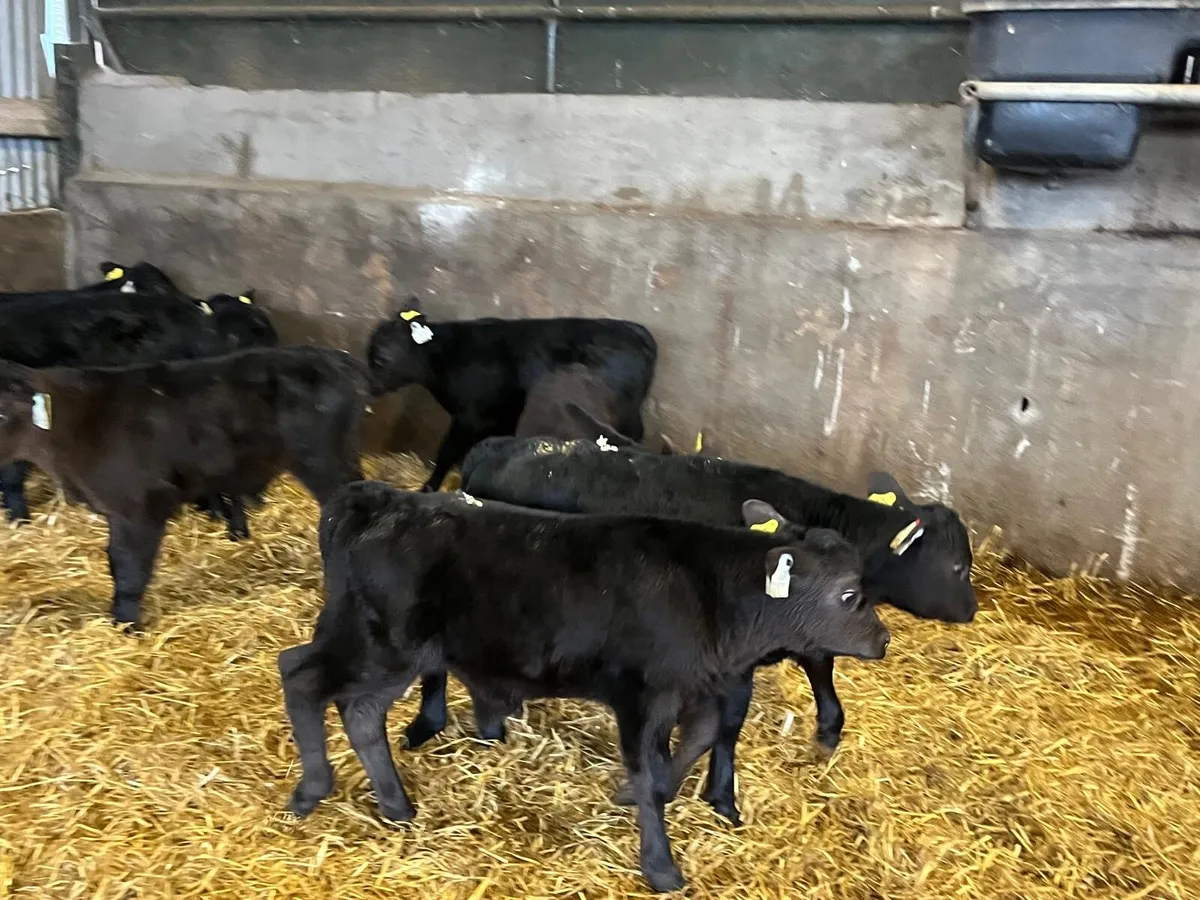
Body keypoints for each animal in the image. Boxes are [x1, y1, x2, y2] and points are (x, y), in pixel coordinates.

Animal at [0, 346, 368, 628]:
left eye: (2, 414)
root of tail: (332, 357)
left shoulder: (140, 506)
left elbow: (129, 567)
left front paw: (127, 624)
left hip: (325, 463)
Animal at [278, 483, 888, 892]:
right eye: (850, 594)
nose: (883, 638)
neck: (709, 593)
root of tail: (384, 500)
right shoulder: (643, 696)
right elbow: (652, 771)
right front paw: (661, 866)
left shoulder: (700, 687)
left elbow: (699, 740)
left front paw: (638, 797)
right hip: (379, 644)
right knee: (301, 677)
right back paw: (312, 790)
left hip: (394, 654)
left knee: (357, 711)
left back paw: (395, 804)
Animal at [364, 297, 657, 491]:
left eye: (380, 358)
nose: (368, 387)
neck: (448, 357)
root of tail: (637, 331)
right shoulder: (497, 420)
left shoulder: (469, 417)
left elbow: (447, 452)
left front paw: (429, 487)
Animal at [411, 437, 976, 823]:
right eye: (957, 567)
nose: (972, 610)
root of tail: (491, 448)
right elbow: (726, 724)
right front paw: (719, 794)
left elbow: (820, 664)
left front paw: (829, 729)